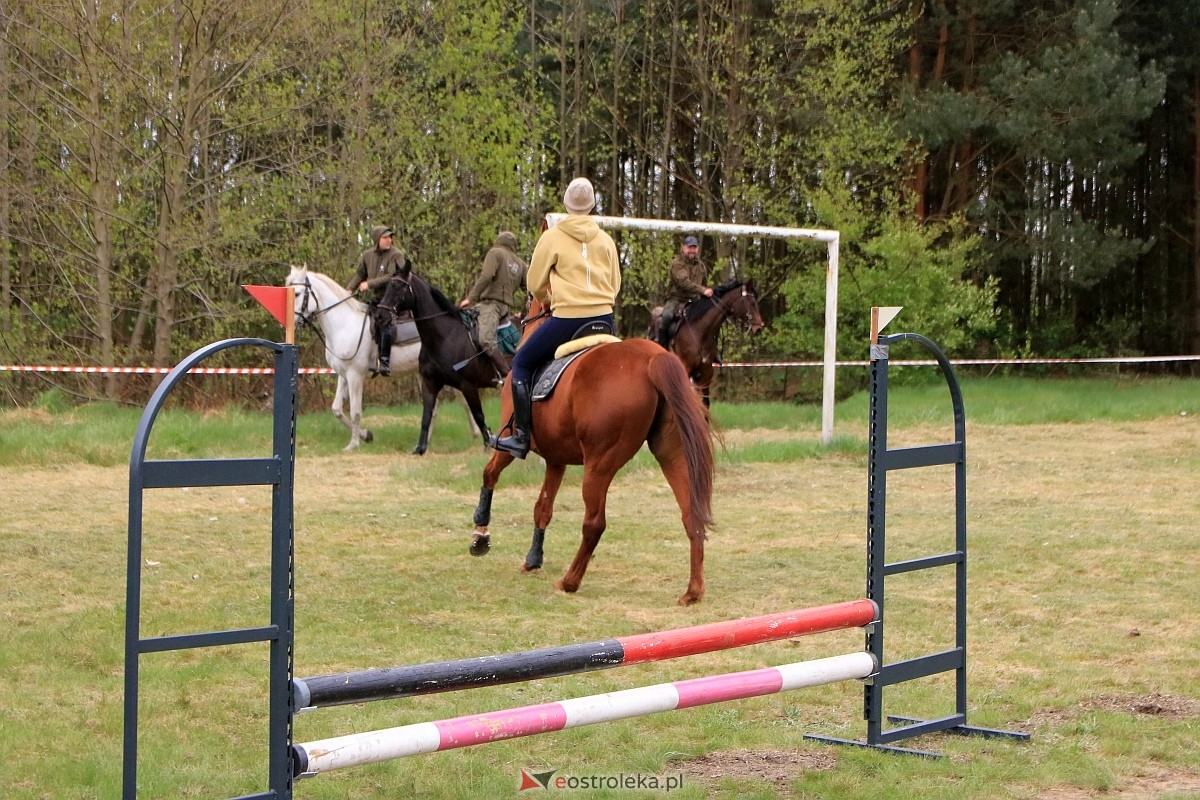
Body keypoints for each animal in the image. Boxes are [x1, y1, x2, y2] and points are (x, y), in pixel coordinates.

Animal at [286, 262, 477, 450]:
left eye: (297, 293)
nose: (291, 323)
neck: (345, 325)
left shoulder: (355, 376)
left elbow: (355, 411)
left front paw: (354, 444)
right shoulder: (344, 375)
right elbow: (337, 410)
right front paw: (366, 435)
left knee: (462, 399)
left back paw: (473, 433)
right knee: (437, 405)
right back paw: (427, 441)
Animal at [465, 299, 710, 606]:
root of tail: (652, 359)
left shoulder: (508, 446)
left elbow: (489, 475)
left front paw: (480, 535)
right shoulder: (555, 460)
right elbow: (542, 508)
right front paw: (533, 559)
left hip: (599, 464)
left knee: (594, 523)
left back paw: (569, 581)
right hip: (672, 453)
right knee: (691, 515)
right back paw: (693, 592)